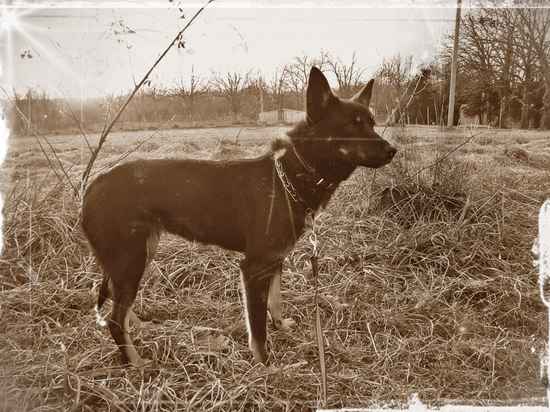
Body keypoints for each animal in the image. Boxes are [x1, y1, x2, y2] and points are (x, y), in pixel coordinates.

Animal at [82, 67, 398, 366]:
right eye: (351, 125)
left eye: (372, 122)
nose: (393, 150)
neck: (287, 178)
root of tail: (92, 186)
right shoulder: (254, 267)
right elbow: (257, 327)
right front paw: (264, 364)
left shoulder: (275, 260)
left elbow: (275, 301)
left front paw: (280, 326)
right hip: (131, 258)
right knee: (114, 318)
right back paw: (135, 361)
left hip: (141, 253)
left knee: (118, 306)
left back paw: (138, 329)